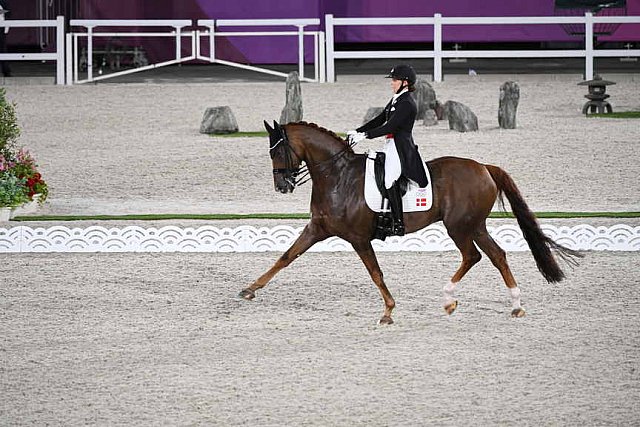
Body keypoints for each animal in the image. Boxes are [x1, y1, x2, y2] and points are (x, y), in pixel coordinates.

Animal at [239, 120, 580, 324]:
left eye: (278, 151)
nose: (281, 186)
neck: (338, 177)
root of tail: (484, 167)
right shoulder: (317, 229)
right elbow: (286, 256)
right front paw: (249, 290)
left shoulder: (359, 239)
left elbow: (375, 274)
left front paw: (388, 311)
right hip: (474, 225)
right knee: (496, 255)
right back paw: (514, 305)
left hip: (459, 227)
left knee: (473, 256)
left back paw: (451, 300)